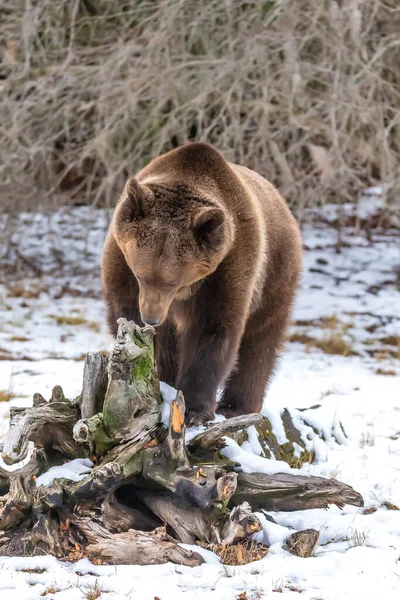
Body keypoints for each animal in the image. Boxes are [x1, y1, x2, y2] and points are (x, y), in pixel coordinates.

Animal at [101, 142, 302, 426]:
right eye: (142, 276)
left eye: (173, 283)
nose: (152, 318)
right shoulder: (121, 261)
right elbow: (127, 313)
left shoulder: (228, 266)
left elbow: (212, 331)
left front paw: (195, 409)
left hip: (275, 272)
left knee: (261, 339)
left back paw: (238, 405)